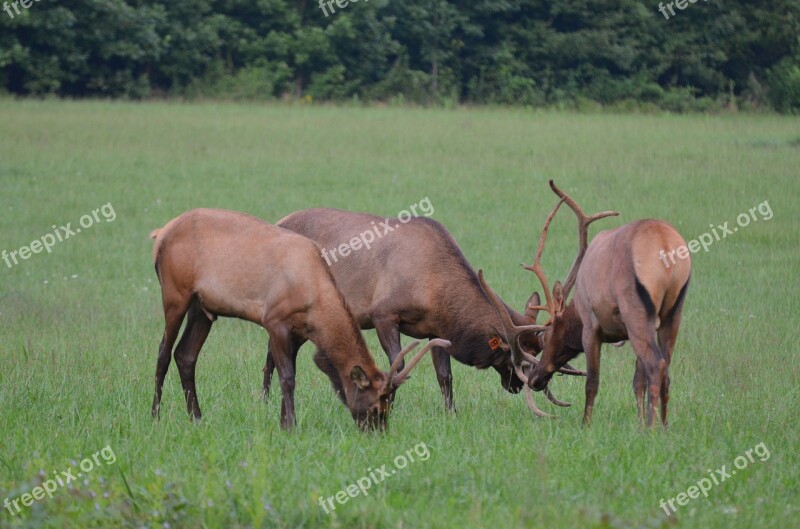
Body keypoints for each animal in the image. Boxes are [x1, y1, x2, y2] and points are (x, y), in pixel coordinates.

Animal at [148, 207, 450, 428]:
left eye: (387, 406)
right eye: (376, 406)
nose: (378, 432)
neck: (314, 296)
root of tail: (160, 233)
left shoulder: (299, 330)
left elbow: (291, 370)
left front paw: (283, 420)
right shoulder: (274, 321)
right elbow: (287, 376)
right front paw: (290, 425)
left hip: (203, 309)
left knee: (186, 355)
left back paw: (197, 417)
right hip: (175, 294)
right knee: (163, 352)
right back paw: (155, 415)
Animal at [266, 206, 584, 416]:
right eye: (514, 358)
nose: (519, 386)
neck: (434, 291)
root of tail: (278, 219)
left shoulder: (436, 328)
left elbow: (445, 375)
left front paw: (451, 413)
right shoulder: (383, 313)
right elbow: (398, 366)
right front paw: (388, 404)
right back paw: (264, 398)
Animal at [478, 180, 692, 424]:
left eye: (547, 336)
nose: (534, 380)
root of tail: (665, 247)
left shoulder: (591, 326)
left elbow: (592, 381)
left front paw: (586, 424)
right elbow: (638, 380)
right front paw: (638, 422)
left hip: (636, 312)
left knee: (656, 365)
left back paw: (652, 427)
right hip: (672, 313)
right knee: (665, 366)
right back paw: (662, 425)